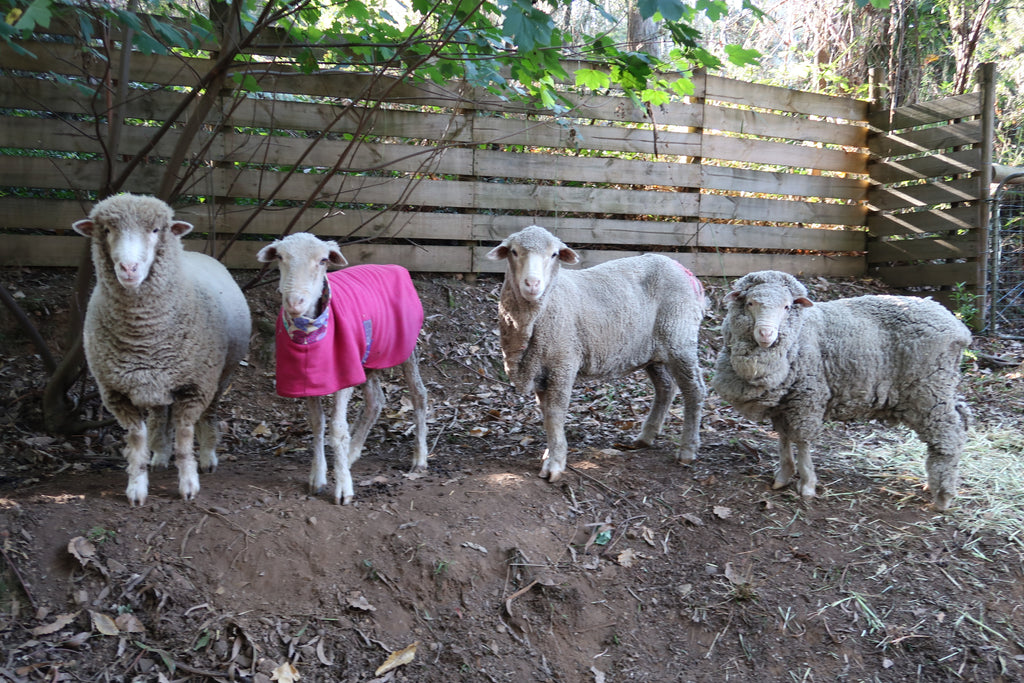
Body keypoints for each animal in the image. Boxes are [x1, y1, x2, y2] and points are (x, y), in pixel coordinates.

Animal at [73, 194, 251, 505]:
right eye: (106, 230)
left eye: (156, 230)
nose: (128, 269)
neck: (143, 338)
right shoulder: (116, 393)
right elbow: (136, 439)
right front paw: (136, 487)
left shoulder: (195, 387)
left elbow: (185, 436)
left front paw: (189, 484)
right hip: (158, 383)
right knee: (159, 416)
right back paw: (159, 455)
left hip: (220, 376)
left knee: (209, 415)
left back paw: (207, 457)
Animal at [260, 232, 432, 505]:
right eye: (280, 257)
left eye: (322, 260)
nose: (295, 302)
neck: (309, 335)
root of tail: (395, 267)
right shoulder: (309, 379)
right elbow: (317, 424)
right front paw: (318, 477)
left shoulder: (344, 373)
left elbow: (337, 430)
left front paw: (343, 489)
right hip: (369, 357)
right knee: (376, 400)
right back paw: (351, 455)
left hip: (405, 348)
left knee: (419, 395)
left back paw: (419, 459)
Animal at [485, 224, 708, 481]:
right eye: (513, 251)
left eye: (554, 254)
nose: (532, 284)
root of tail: (686, 271)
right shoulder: (540, 366)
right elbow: (546, 414)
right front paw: (551, 452)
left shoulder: (563, 361)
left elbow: (554, 413)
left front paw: (555, 463)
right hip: (654, 349)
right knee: (666, 388)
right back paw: (645, 437)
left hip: (679, 338)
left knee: (694, 390)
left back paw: (687, 449)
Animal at [712, 270, 966, 509]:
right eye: (750, 303)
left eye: (786, 307)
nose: (766, 334)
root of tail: (957, 326)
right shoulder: (783, 403)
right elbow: (783, 438)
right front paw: (783, 476)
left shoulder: (808, 397)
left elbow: (802, 441)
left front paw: (807, 484)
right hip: (939, 388)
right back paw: (933, 483)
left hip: (930, 390)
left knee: (949, 436)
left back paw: (943, 497)